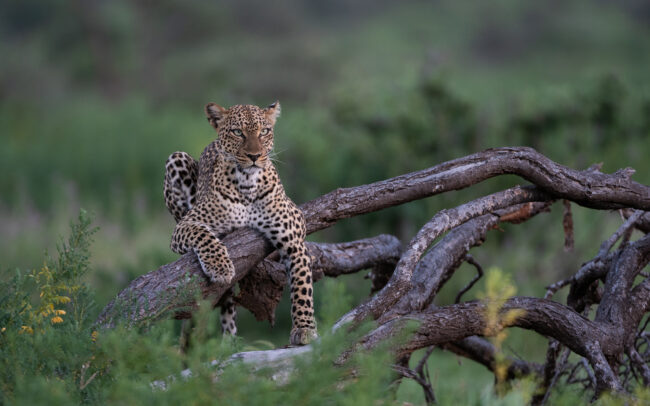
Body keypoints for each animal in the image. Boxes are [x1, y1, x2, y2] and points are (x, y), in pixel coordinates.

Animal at [163, 101, 317, 346]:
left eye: (264, 131)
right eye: (237, 132)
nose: (254, 156)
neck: (247, 183)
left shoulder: (293, 233)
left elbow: (302, 284)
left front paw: (304, 328)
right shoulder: (186, 225)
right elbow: (203, 235)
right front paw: (220, 267)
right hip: (176, 159)